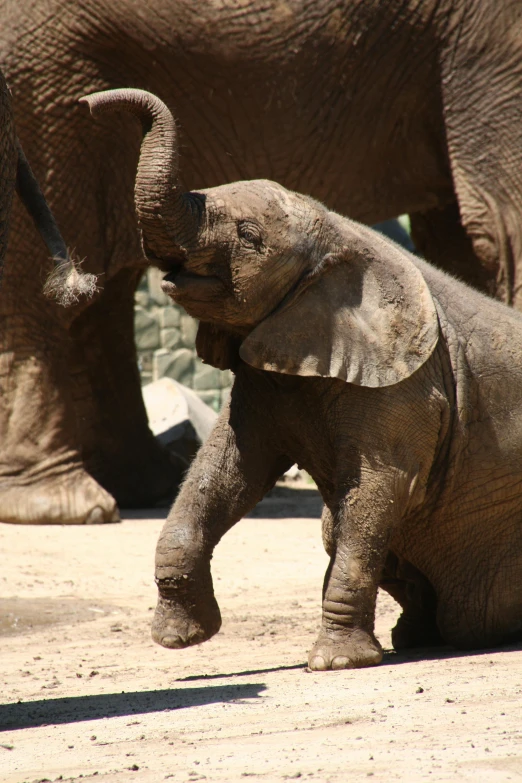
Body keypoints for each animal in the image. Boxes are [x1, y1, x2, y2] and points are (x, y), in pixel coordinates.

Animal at [82, 90, 522, 668]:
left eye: (249, 236)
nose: (87, 102)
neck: (338, 232)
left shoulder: (406, 386)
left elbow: (380, 491)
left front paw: (337, 663)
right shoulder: (267, 372)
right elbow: (228, 472)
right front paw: (180, 638)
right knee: (336, 530)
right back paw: (416, 637)